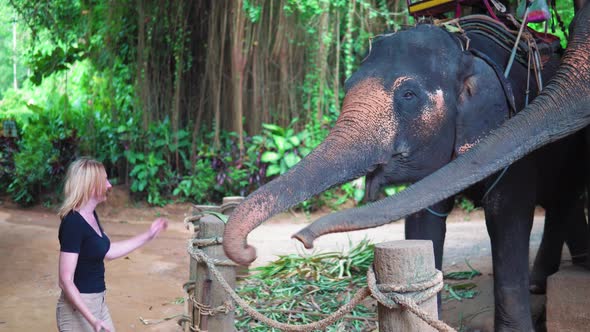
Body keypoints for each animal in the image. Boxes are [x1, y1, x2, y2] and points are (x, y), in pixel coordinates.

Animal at [224, 11, 588, 330]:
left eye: (408, 95)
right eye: (347, 84)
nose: (300, 238)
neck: (467, 47)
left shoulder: (514, 130)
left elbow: (507, 215)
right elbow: (424, 218)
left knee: (564, 197)